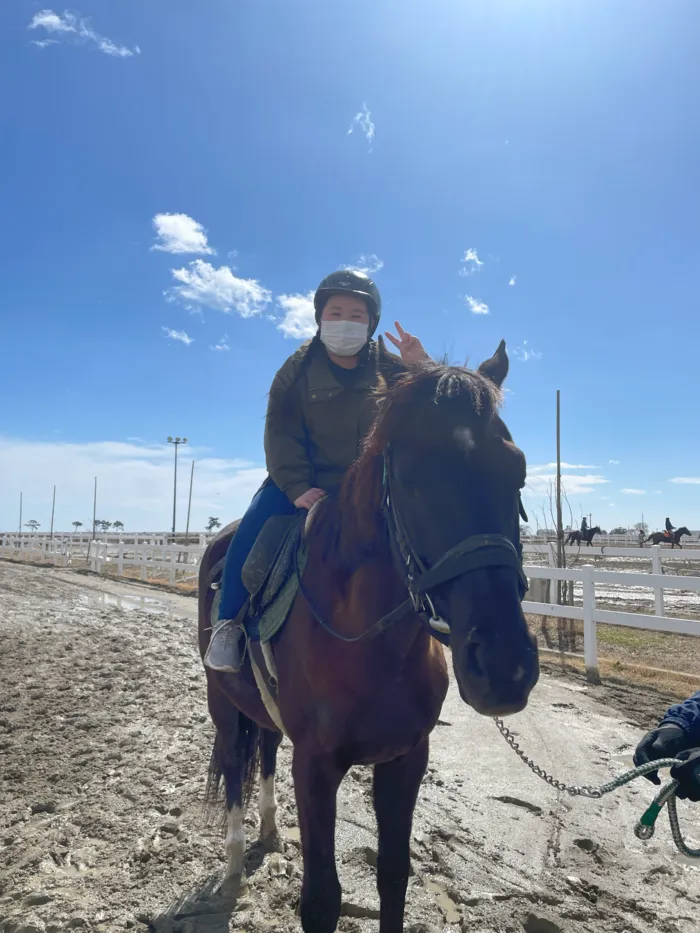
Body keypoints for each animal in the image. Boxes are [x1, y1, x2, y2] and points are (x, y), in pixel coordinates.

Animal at [200, 344, 540, 932]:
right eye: (408, 477)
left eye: (516, 471)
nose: (503, 666)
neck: (369, 645)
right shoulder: (315, 768)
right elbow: (321, 898)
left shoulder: (406, 760)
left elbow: (393, 877)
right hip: (221, 702)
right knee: (234, 764)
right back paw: (236, 865)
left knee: (263, 750)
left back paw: (270, 833)